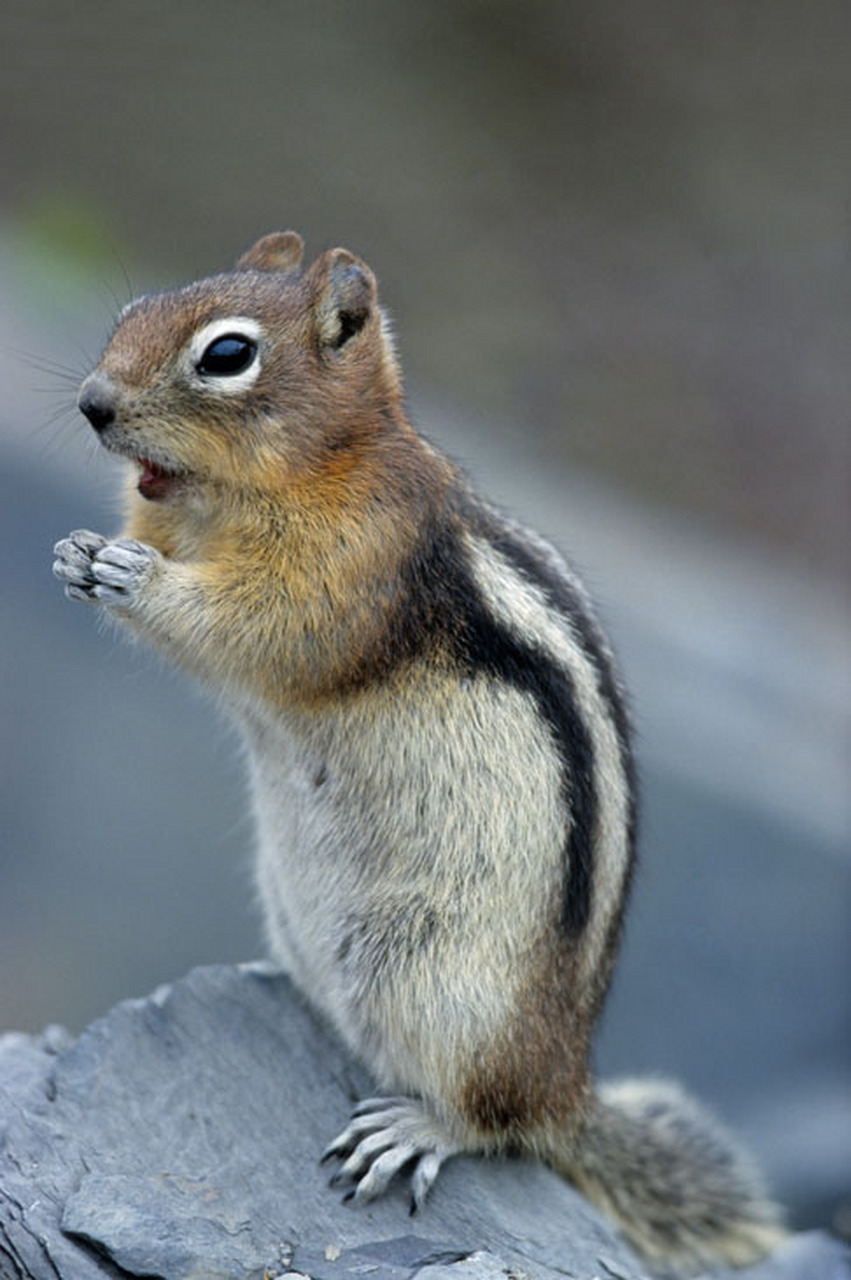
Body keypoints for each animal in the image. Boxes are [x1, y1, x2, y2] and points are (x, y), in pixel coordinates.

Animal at [51, 235, 783, 1274]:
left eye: (226, 355)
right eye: (135, 307)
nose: (92, 404)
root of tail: (569, 1086)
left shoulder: (357, 560)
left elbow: (264, 631)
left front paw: (134, 577)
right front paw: (83, 554)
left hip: (442, 990)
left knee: (497, 1121)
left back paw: (416, 1129)